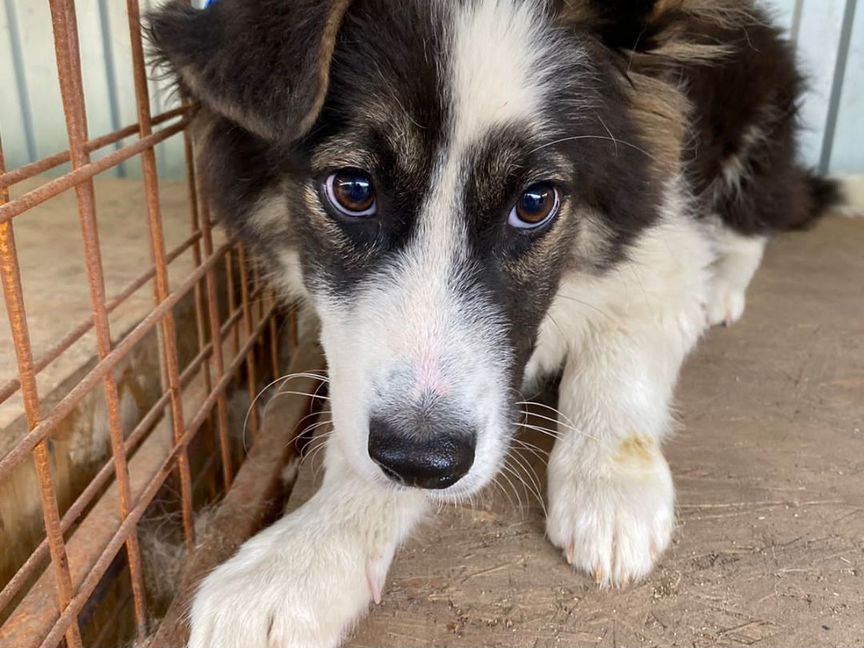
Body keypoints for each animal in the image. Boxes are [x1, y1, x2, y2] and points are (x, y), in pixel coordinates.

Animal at [148, 2, 856, 644]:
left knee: (764, 212)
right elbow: (361, 443)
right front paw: (299, 564)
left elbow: (616, 360)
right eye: (352, 189)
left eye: (535, 202)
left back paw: (724, 282)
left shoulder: (663, 243)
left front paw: (611, 490)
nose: (423, 460)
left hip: (756, 108)